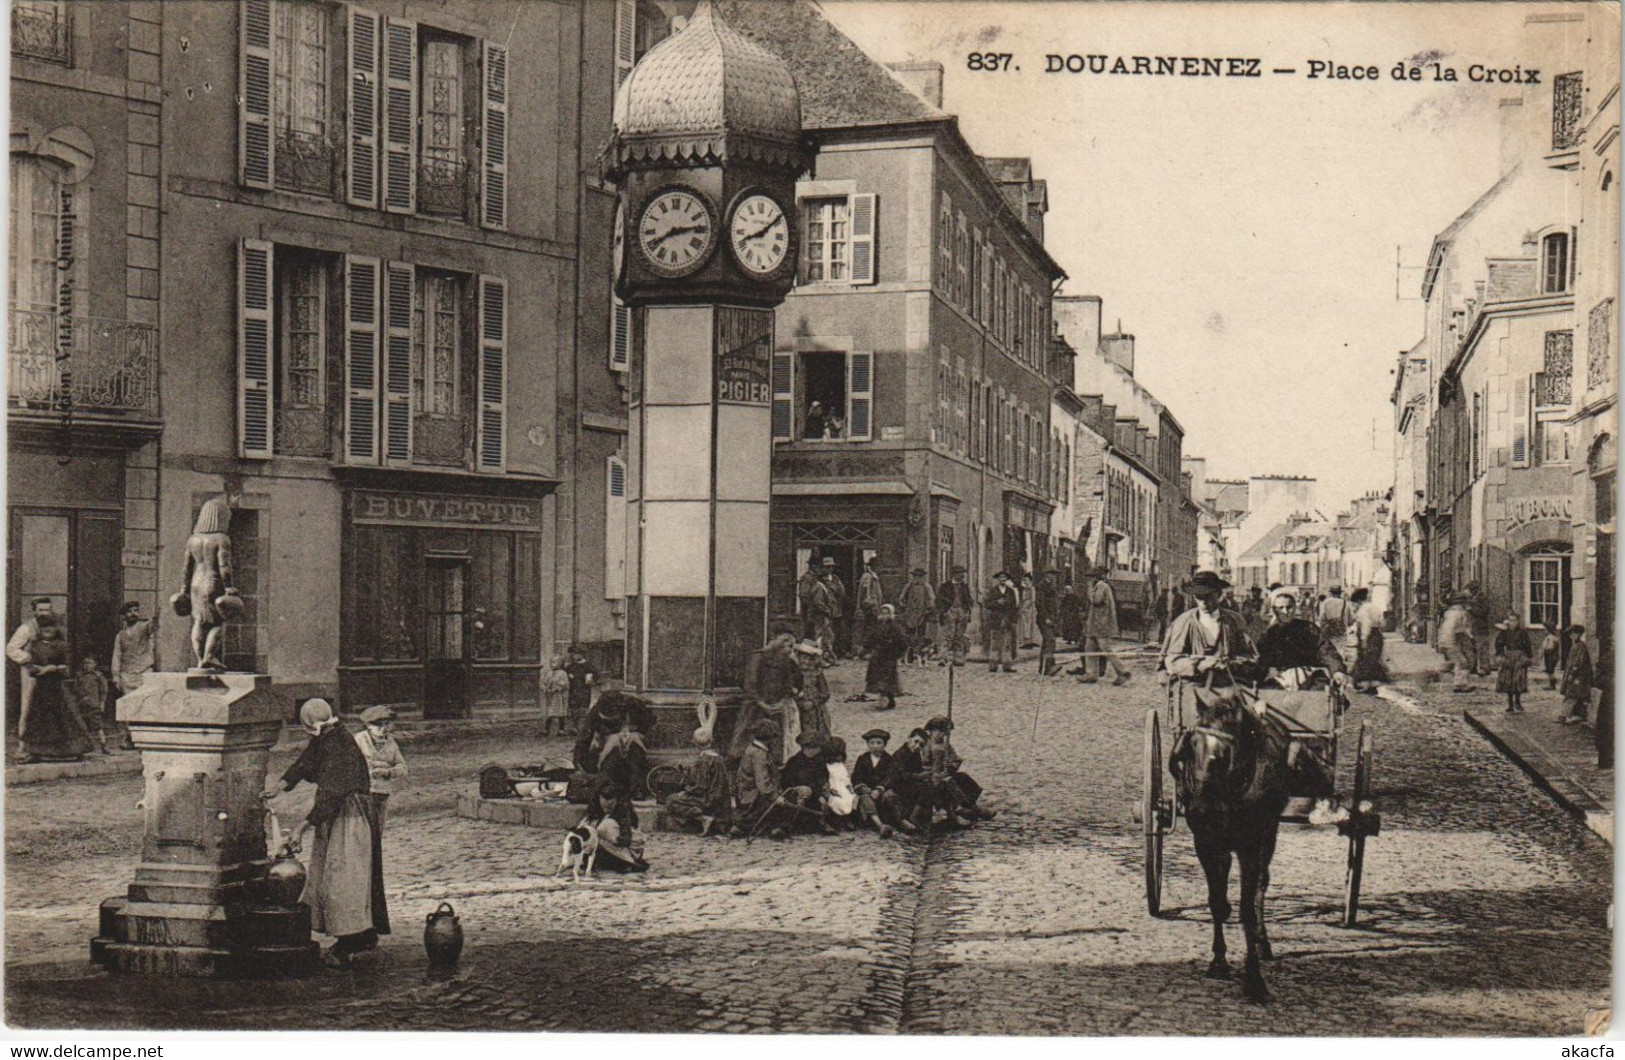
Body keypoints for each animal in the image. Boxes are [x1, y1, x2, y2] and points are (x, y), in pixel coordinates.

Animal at [1176, 679, 1287, 1001]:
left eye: (1223, 755)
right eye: (1191, 746)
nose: (1199, 809)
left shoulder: (1250, 845)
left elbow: (1247, 909)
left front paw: (1254, 979)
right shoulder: (1205, 843)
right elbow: (1216, 902)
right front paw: (1218, 961)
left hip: (1269, 833)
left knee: (1262, 883)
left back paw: (1262, 942)